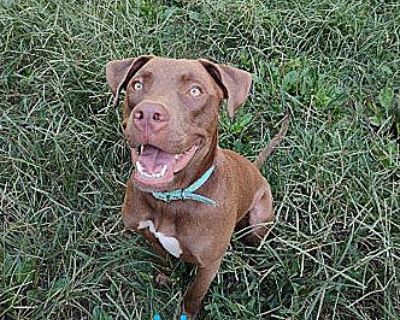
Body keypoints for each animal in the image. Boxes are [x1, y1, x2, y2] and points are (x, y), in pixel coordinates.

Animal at [106, 56, 288, 318]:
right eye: (137, 85)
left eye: (195, 91)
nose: (149, 113)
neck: (170, 199)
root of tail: (255, 168)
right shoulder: (148, 235)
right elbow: (163, 258)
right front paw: (165, 277)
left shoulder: (209, 264)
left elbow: (195, 293)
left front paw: (187, 312)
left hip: (259, 222)